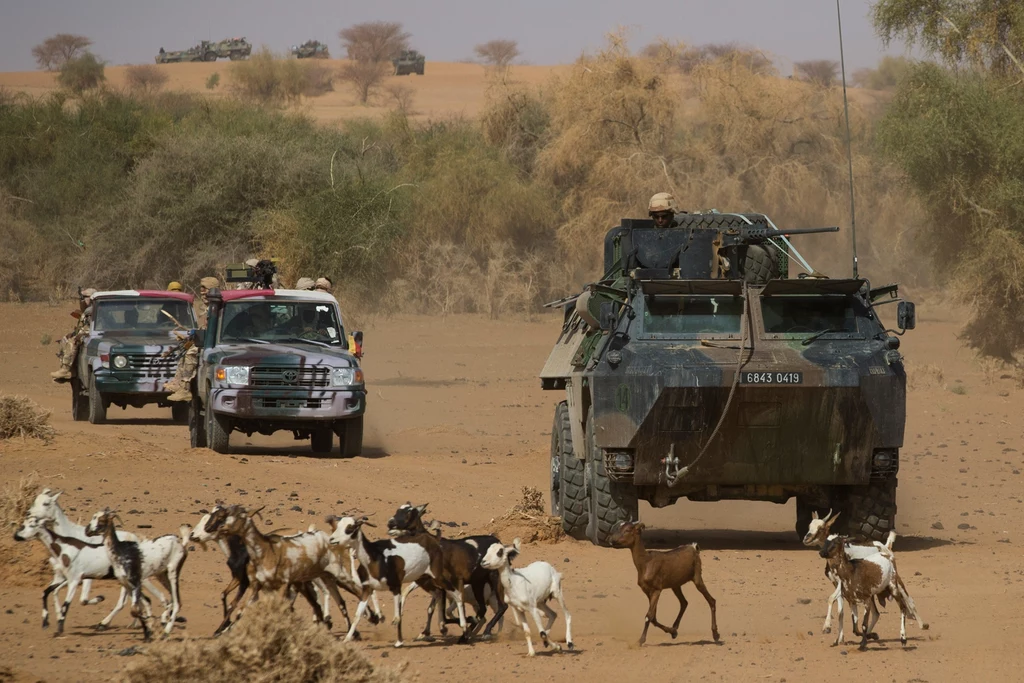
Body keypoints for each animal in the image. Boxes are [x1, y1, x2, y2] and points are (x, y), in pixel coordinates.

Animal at [24, 485, 169, 626]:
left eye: (46, 503)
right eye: (35, 500)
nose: (28, 514)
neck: (69, 535)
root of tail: (135, 538)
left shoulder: (85, 576)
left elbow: (83, 600)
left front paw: (99, 599)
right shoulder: (67, 576)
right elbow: (55, 591)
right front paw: (58, 616)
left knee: (145, 598)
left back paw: (107, 623)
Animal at [325, 511, 442, 647]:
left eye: (350, 527)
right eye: (338, 526)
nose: (332, 539)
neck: (376, 558)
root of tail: (433, 539)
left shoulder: (396, 587)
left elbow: (398, 616)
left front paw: (399, 642)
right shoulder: (367, 589)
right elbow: (358, 614)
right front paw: (347, 639)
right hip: (422, 580)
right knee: (438, 593)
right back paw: (434, 630)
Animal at [387, 501, 507, 643]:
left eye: (410, 512)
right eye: (397, 510)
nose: (390, 523)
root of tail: (498, 542)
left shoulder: (451, 584)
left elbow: (445, 612)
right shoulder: (439, 587)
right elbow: (436, 611)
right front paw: (429, 632)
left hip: (494, 577)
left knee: (502, 606)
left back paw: (485, 632)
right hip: (478, 583)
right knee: (483, 609)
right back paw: (466, 636)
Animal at [798, 509, 929, 638]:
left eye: (821, 528)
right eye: (809, 526)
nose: (806, 539)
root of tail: (886, 546)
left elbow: (831, 599)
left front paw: (827, 627)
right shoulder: (838, 584)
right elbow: (841, 610)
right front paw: (841, 636)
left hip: (895, 580)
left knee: (909, 600)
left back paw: (922, 625)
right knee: (876, 613)